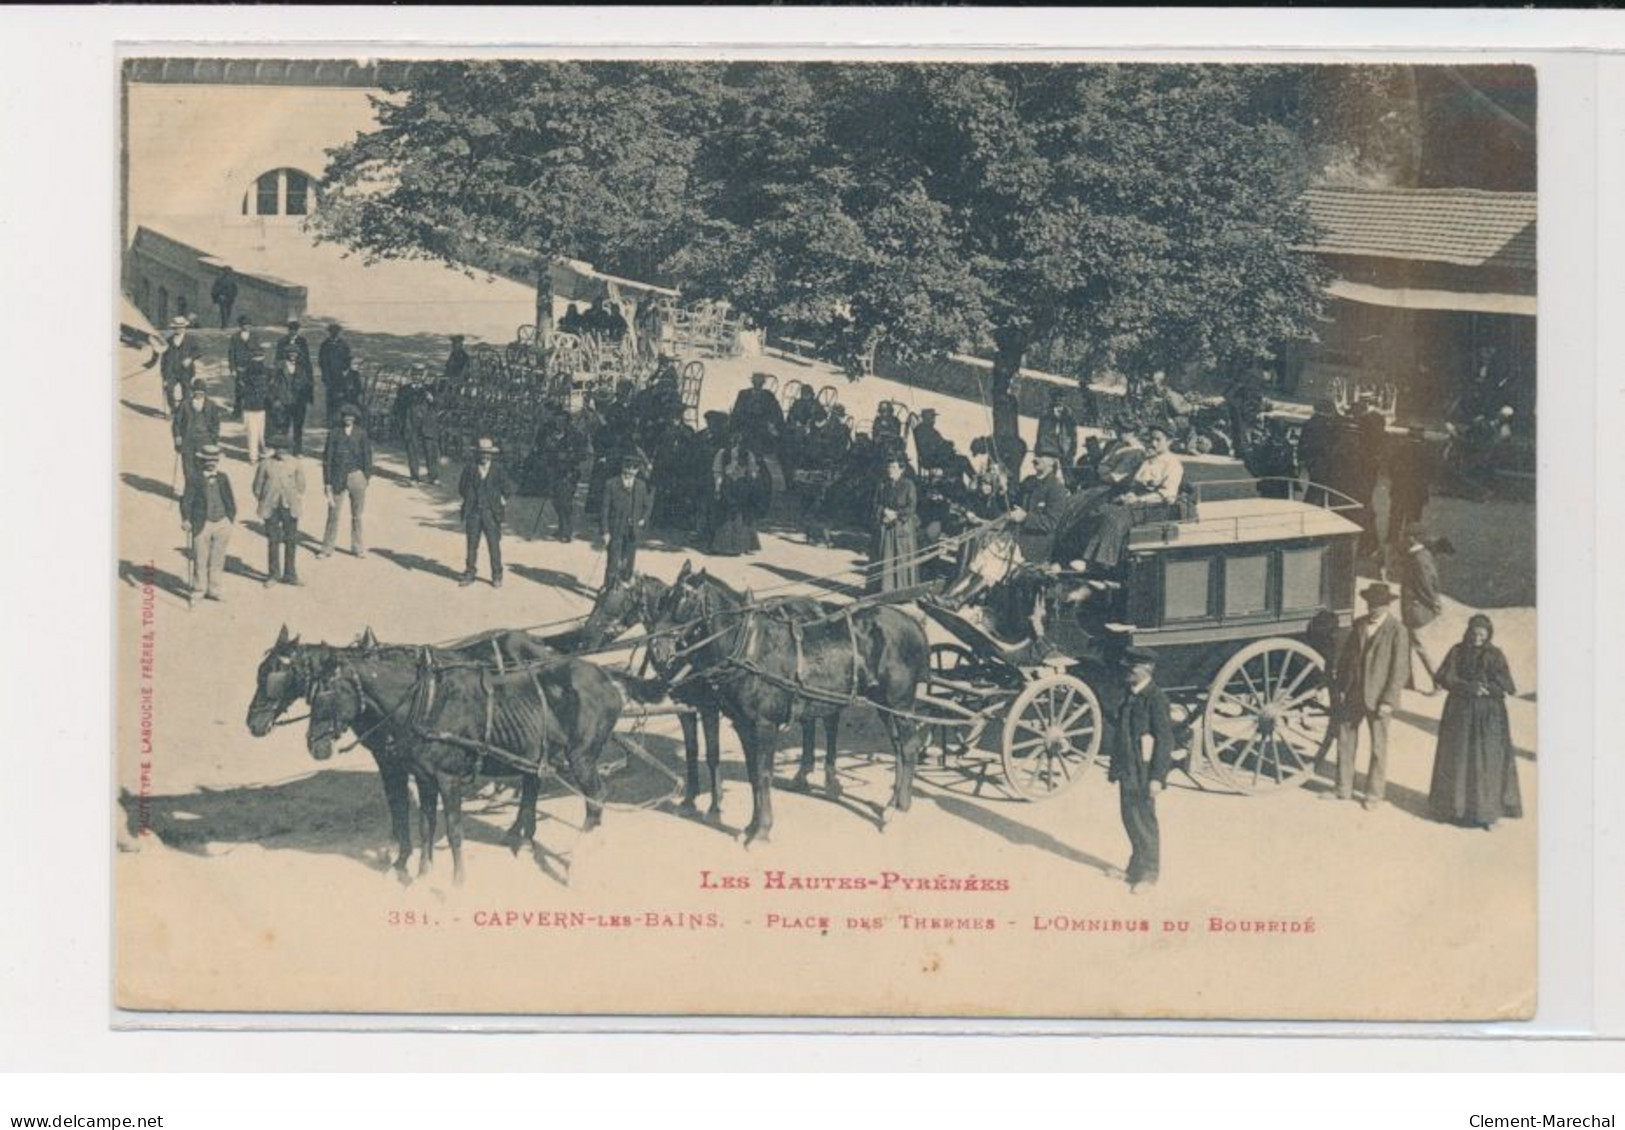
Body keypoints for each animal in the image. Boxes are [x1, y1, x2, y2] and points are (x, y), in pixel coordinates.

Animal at [643, 562, 929, 845]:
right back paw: (892, 801)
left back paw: (899, 809)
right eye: (664, 599)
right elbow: (753, 775)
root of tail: (913, 623)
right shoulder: (742, 725)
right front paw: (750, 826)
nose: (657, 649)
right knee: (897, 745)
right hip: (883, 704)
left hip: (900, 703)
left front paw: (761, 831)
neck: (749, 646)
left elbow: (763, 775)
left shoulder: (763, 725)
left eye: (686, 599)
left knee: (909, 747)